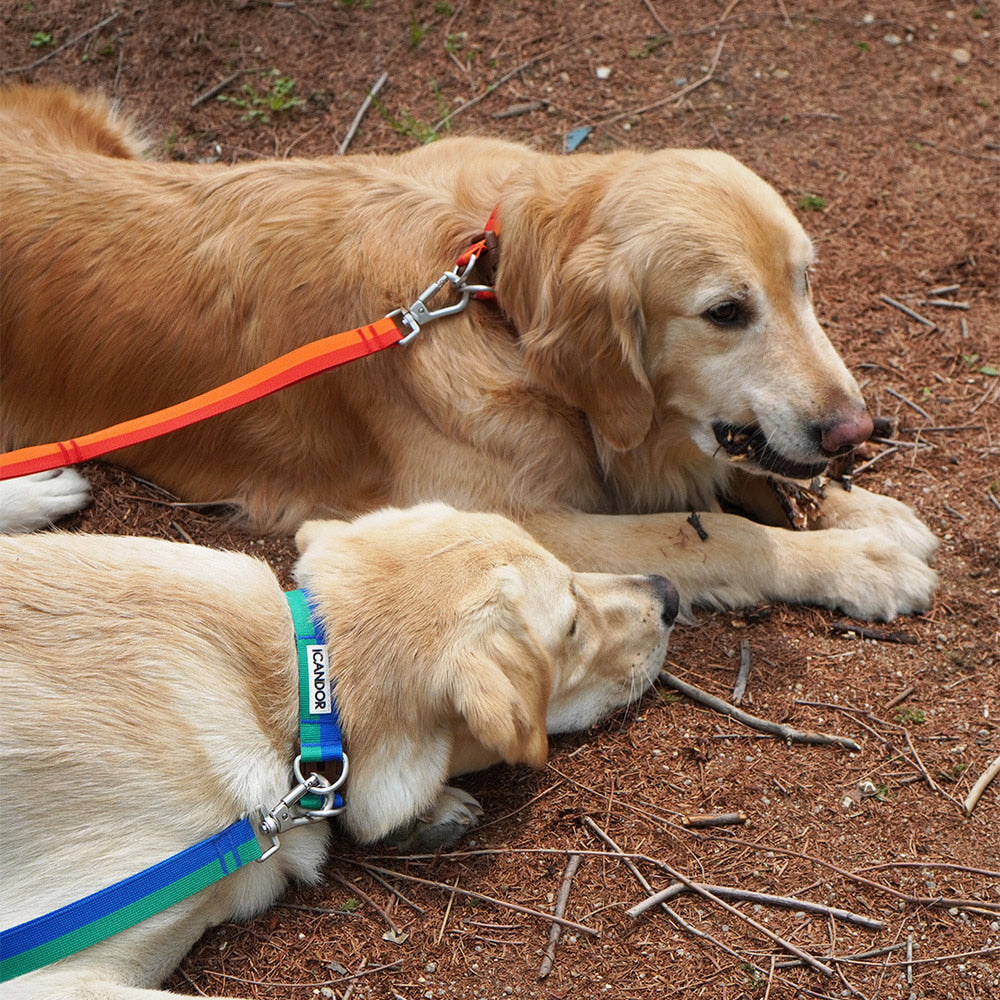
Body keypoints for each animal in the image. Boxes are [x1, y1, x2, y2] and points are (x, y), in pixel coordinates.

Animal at [0, 88, 936, 616]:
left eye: (806, 283)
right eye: (726, 312)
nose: (858, 431)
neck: (491, 301)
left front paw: (859, 512)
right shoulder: (502, 519)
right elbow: (702, 535)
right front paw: (854, 561)